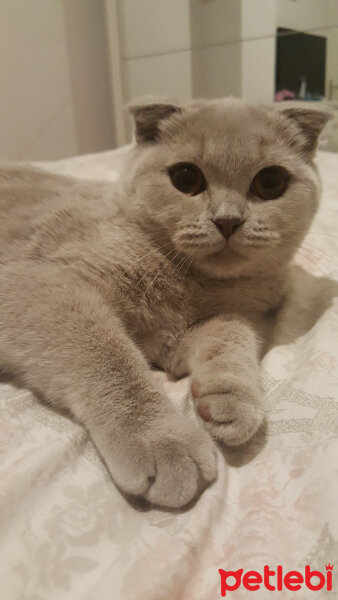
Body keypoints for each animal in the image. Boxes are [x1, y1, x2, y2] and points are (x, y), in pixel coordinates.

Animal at [0, 97, 328, 506]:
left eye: (270, 182)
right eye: (186, 178)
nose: (228, 220)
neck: (193, 282)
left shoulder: (185, 338)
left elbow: (232, 331)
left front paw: (230, 399)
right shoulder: (42, 284)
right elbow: (110, 358)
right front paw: (163, 440)